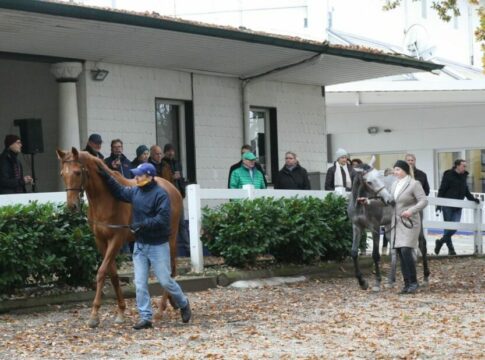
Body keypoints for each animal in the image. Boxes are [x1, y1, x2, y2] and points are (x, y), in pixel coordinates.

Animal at [56, 148, 182, 328]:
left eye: (77, 172)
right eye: (62, 174)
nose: (71, 206)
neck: (105, 199)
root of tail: (173, 188)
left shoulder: (116, 239)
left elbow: (101, 272)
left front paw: (94, 315)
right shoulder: (101, 241)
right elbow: (113, 275)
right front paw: (121, 311)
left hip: (169, 239)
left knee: (169, 269)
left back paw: (161, 309)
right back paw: (173, 302)